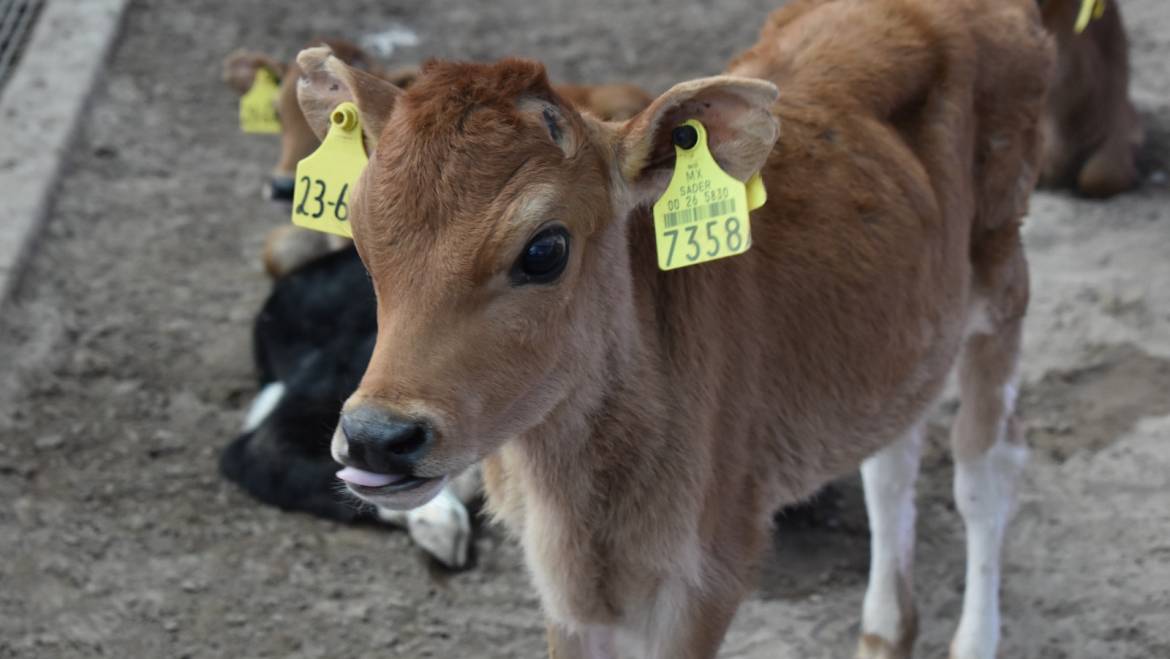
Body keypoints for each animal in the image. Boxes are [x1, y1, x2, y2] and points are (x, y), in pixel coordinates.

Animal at [299, 2, 1053, 655]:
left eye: (545, 249)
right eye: (358, 230)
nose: (376, 437)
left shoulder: (709, 567)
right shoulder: (563, 589)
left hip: (1004, 277)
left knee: (986, 470)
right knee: (893, 457)